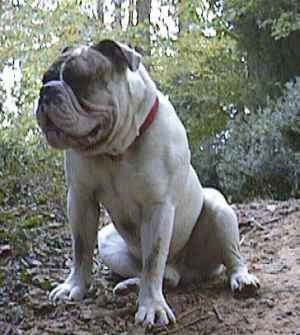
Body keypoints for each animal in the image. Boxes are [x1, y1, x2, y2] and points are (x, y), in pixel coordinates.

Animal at [36, 40, 258, 328]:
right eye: (45, 78)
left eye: (79, 80)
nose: (46, 91)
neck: (116, 150)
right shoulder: (81, 198)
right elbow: (81, 248)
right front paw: (74, 286)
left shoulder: (158, 207)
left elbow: (153, 260)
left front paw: (152, 306)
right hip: (108, 241)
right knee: (163, 275)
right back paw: (131, 285)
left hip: (219, 211)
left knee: (228, 256)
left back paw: (242, 278)